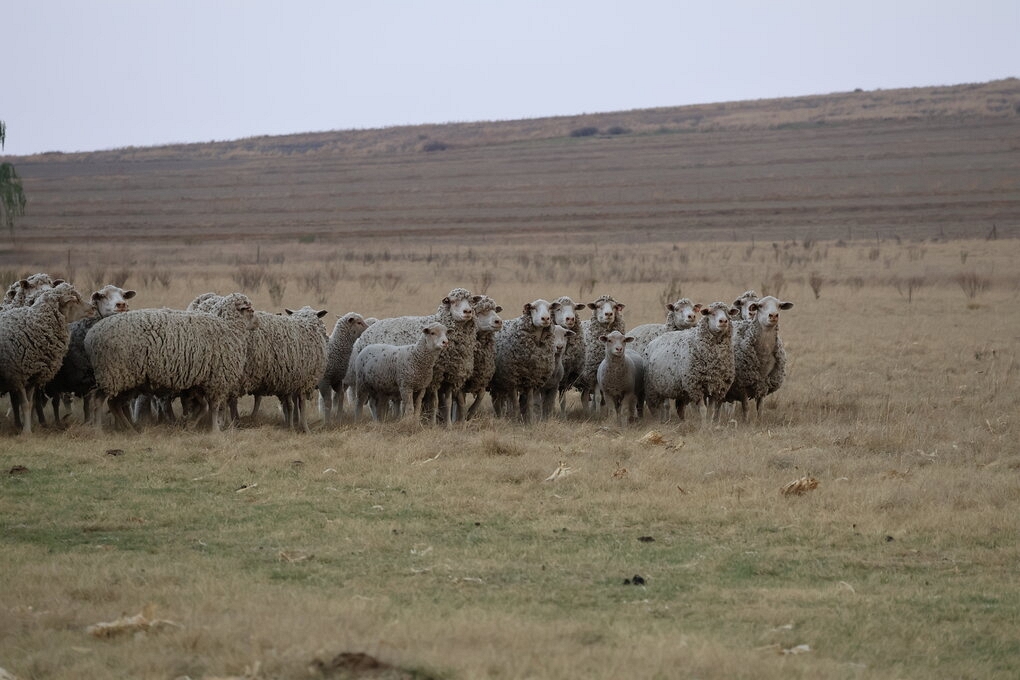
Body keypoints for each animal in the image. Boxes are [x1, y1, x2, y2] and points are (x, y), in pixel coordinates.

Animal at [0, 282, 87, 433]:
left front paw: (28, 428)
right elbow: (24, 403)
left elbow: (29, 403)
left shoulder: (33, 375)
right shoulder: (19, 375)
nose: (93, 308)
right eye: (75, 300)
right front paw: (26, 432)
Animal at [41, 284, 137, 425]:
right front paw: (93, 424)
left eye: (123, 295)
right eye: (102, 296)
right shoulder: (88, 379)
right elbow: (92, 404)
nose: (121, 304)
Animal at [84, 293, 257, 432]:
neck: (231, 328)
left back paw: (129, 429)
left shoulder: (197, 382)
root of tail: (91, 336)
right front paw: (215, 431)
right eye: (250, 310)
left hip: (124, 379)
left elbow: (204, 406)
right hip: (112, 373)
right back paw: (99, 430)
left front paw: (190, 424)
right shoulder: (216, 379)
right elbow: (214, 407)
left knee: (113, 403)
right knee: (98, 401)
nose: (256, 324)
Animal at [345, 288, 482, 425]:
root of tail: (366, 332)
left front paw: (448, 425)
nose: (467, 311)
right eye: (452, 301)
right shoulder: (434, 378)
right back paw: (377, 420)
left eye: (471, 301)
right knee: (370, 402)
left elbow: (447, 404)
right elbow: (434, 403)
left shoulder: (449, 377)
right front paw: (432, 424)